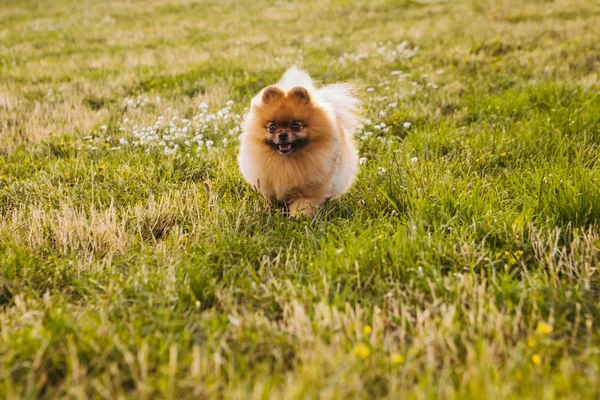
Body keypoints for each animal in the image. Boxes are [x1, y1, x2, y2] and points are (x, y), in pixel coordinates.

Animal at [238, 67, 360, 217]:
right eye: (272, 127)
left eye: (296, 126)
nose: (283, 134)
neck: (286, 162)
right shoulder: (268, 187)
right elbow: (271, 201)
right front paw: (270, 212)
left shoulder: (308, 191)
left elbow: (302, 206)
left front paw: (298, 218)